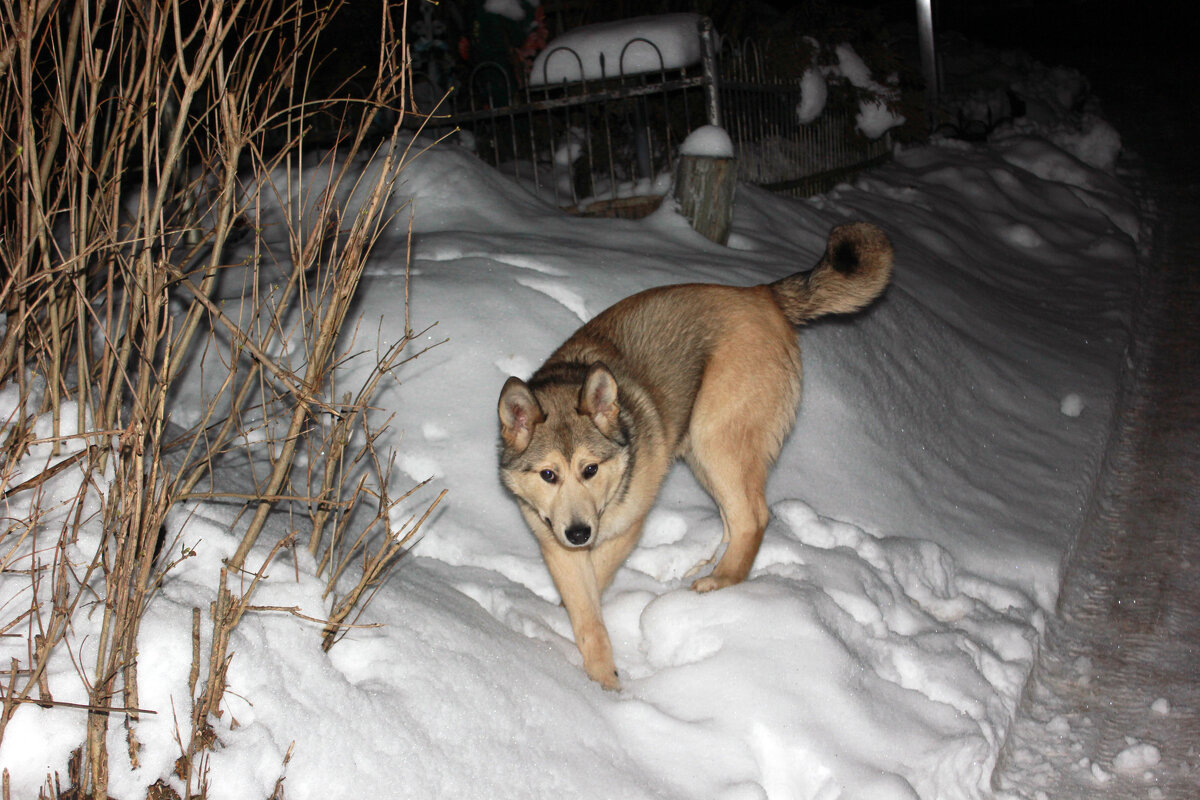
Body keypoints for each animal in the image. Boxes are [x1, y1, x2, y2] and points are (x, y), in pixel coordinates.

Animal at [494, 220, 892, 690]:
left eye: (590, 469)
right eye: (548, 475)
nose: (578, 533)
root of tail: (762, 294)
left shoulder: (625, 529)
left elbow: (595, 586)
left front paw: (606, 682)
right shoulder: (555, 545)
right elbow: (584, 607)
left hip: (715, 439)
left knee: (753, 517)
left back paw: (720, 583)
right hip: (705, 456)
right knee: (734, 521)